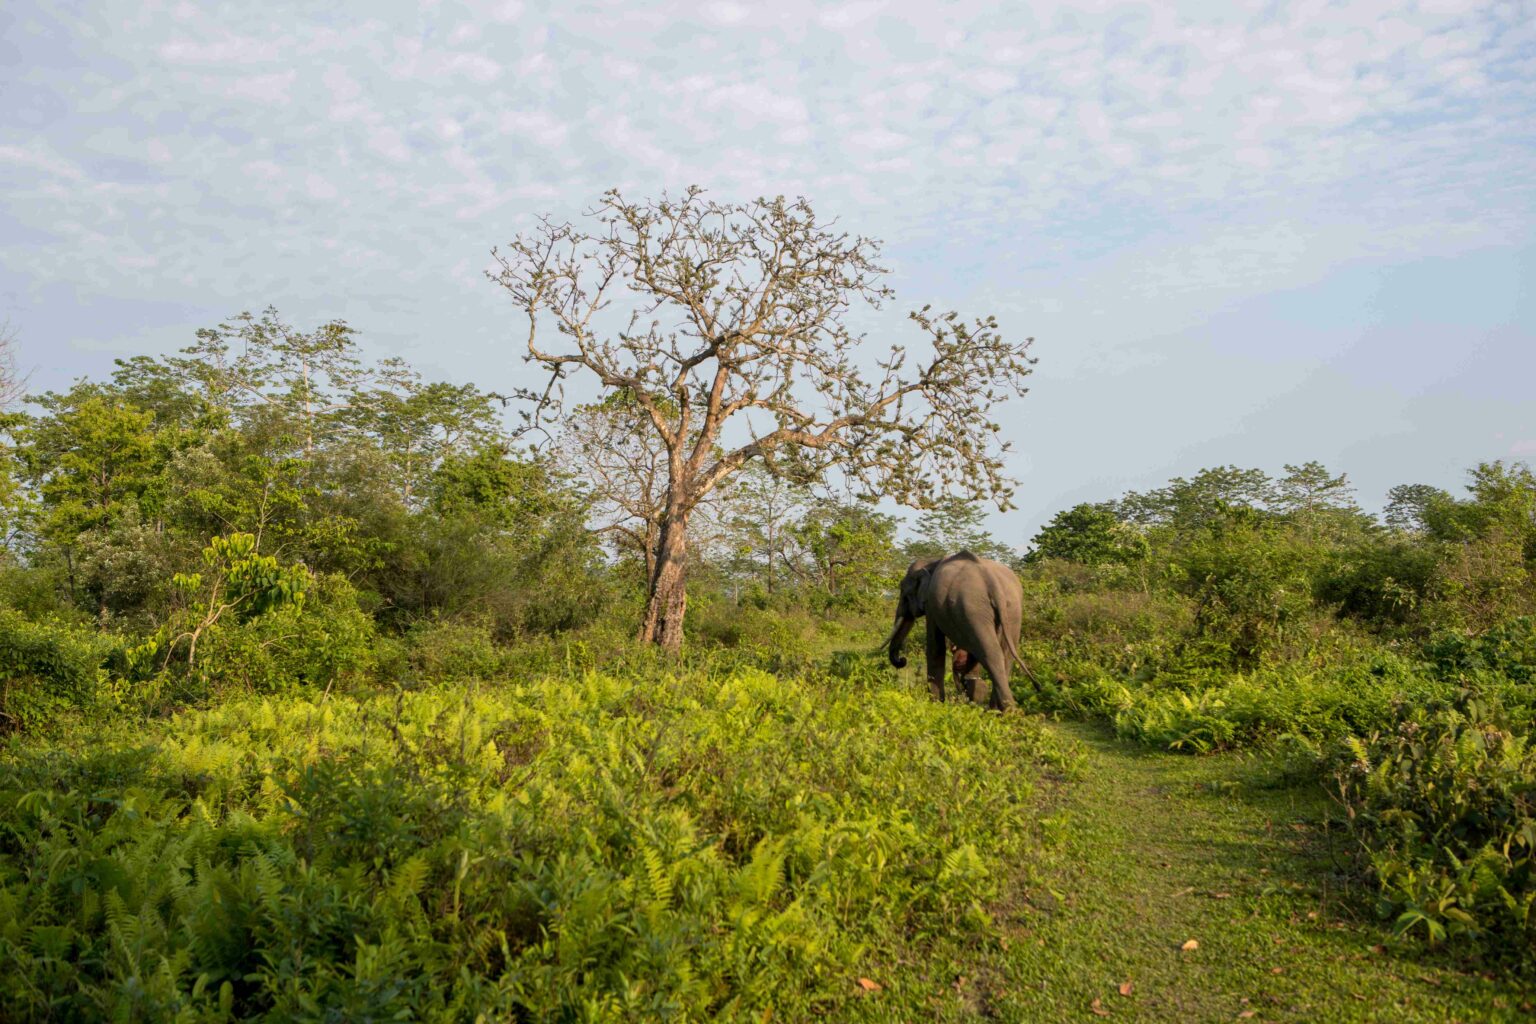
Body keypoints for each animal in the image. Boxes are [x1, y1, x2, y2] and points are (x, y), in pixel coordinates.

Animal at [884, 552, 1038, 712]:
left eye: (904, 593)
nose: (902, 660)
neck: (932, 561)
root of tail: (993, 584)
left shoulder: (931, 604)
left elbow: (935, 648)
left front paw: (936, 704)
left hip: (974, 609)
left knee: (991, 654)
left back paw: (1006, 712)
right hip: (1012, 610)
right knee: (1006, 656)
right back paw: (997, 711)